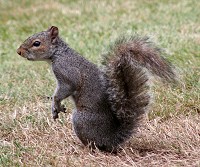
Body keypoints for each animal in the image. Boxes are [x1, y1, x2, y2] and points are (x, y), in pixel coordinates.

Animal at [17, 26, 177, 153]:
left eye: (36, 43)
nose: (19, 51)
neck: (59, 54)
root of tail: (111, 137)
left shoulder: (67, 73)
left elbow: (64, 89)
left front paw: (55, 104)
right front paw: (56, 107)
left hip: (81, 119)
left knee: (95, 145)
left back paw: (83, 147)